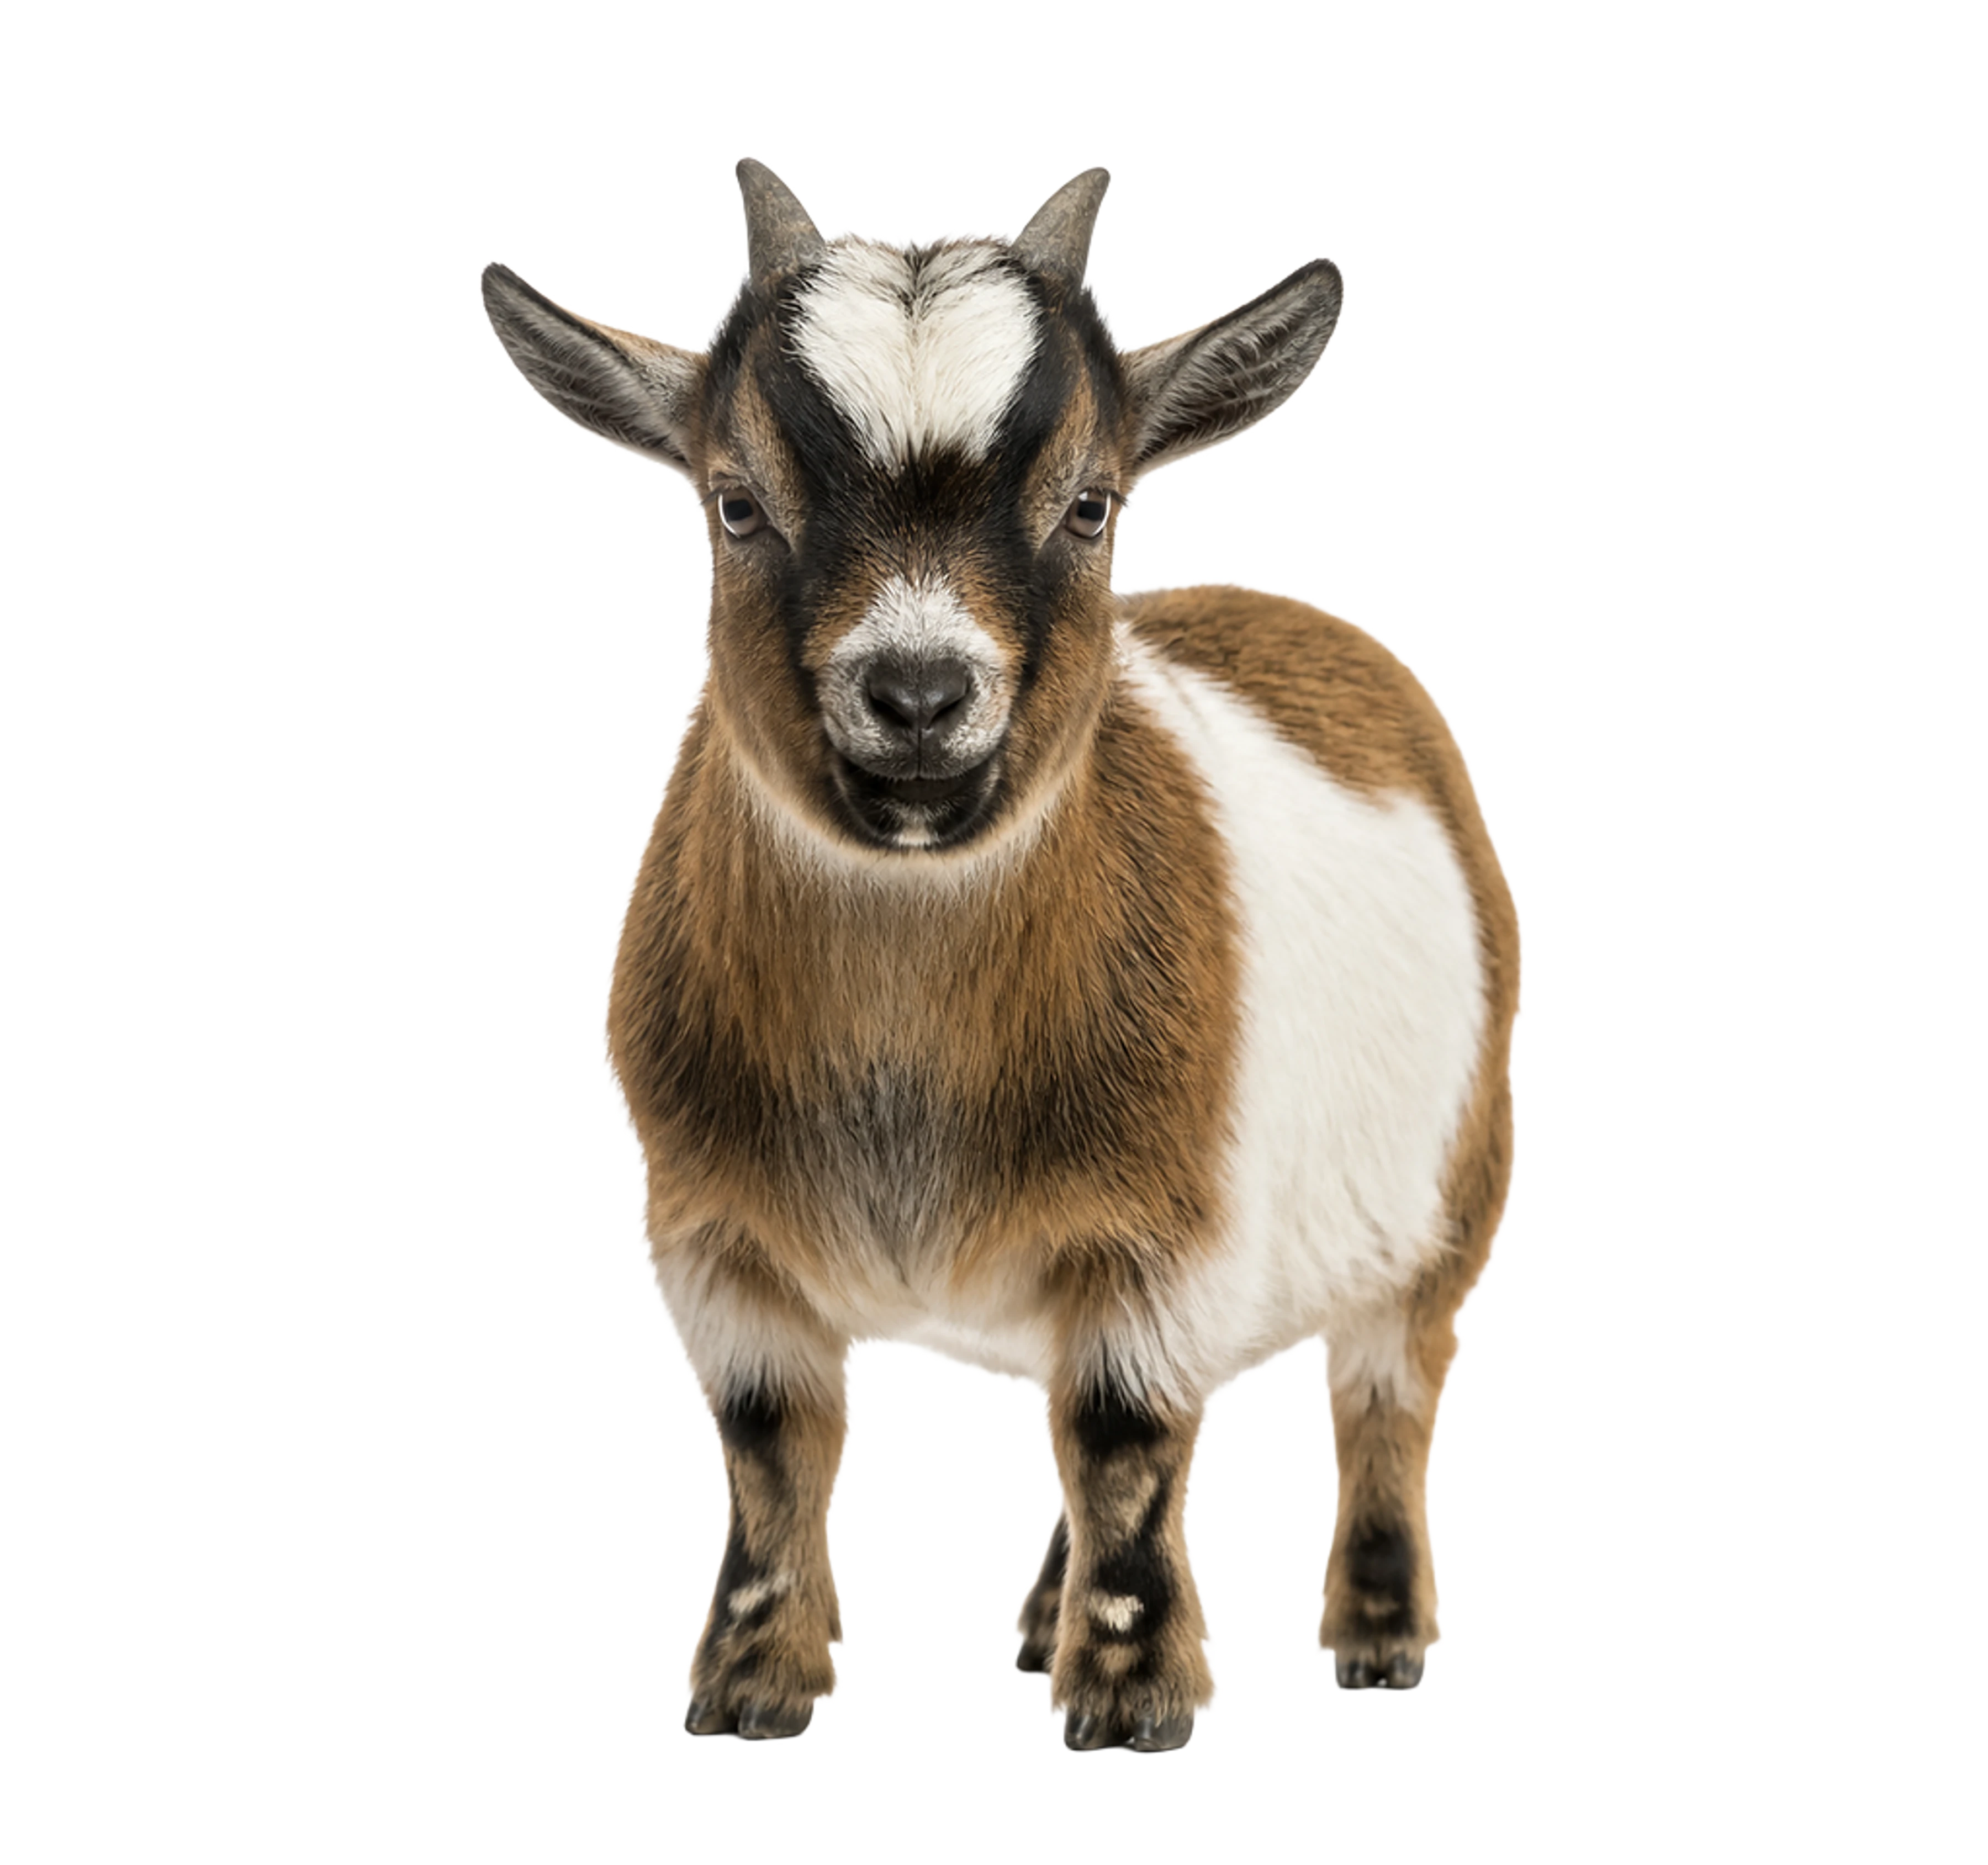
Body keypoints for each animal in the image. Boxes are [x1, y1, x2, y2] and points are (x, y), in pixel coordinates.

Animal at [479, 157, 1521, 1752]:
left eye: (1090, 506)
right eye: (737, 503)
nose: (917, 695)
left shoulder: (1160, 1234)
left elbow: (1126, 1438)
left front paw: (1132, 1694)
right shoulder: (715, 1234)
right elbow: (772, 1444)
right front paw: (753, 1682)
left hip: (1454, 1194)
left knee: (1388, 1395)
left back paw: (1378, 1635)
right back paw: (1041, 1617)